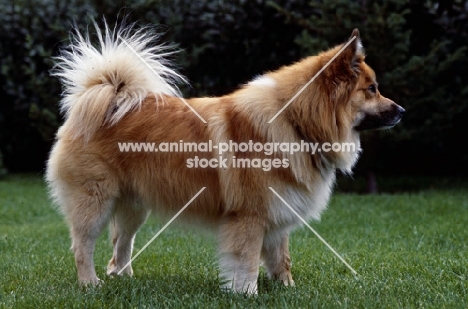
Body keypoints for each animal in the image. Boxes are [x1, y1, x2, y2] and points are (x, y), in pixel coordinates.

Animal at [46, 20, 402, 292]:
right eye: (372, 89)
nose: (402, 110)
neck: (296, 123)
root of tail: (100, 97)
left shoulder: (278, 213)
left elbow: (281, 258)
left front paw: (287, 288)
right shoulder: (249, 217)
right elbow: (247, 261)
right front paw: (247, 294)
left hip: (134, 206)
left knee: (121, 244)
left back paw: (123, 278)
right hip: (94, 201)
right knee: (83, 245)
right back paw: (90, 284)